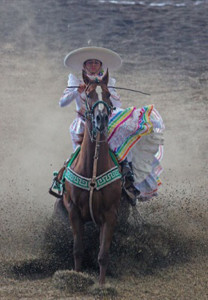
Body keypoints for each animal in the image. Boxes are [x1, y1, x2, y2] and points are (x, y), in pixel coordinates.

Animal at [62, 69, 122, 284]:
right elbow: (78, 250)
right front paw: (76, 278)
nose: (101, 118)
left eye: (108, 94)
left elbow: (103, 254)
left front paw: (101, 285)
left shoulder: (110, 214)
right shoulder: (73, 211)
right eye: (88, 94)